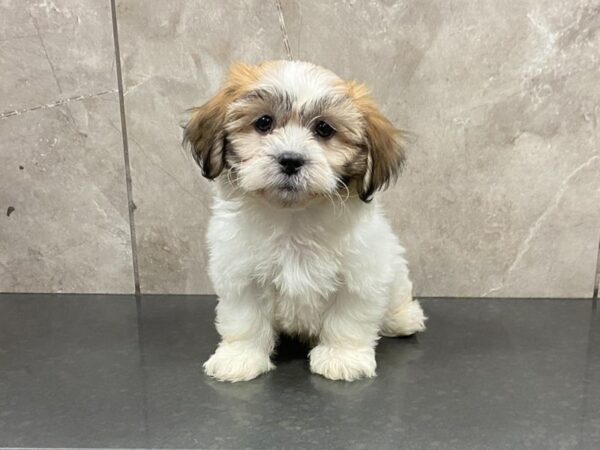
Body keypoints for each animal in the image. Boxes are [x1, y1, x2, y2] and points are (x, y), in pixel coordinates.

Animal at [185, 60, 424, 384]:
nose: (290, 159)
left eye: (324, 129)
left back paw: (403, 318)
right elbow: (245, 319)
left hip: (393, 265)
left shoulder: (361, 275)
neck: (294, 216)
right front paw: (239, 358)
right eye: (264, 122)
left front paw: (342, 358)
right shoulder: (240, 274)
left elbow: (348, 318)